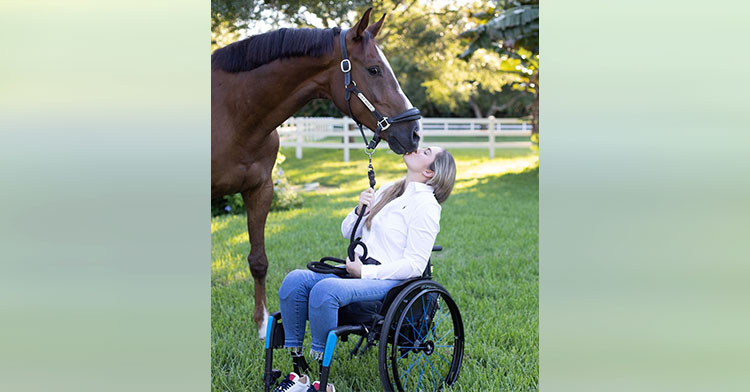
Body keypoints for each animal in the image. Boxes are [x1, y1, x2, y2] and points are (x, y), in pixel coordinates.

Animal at [212, 7, 424, 338]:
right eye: (374, 69)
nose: (414, 132)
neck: (233, 114)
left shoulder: (260, 189)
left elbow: (258, 260)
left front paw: (261, 325)